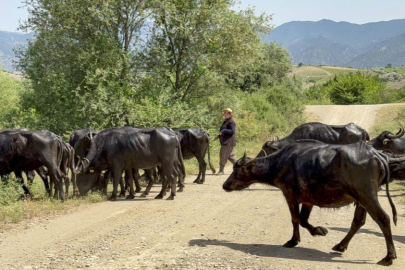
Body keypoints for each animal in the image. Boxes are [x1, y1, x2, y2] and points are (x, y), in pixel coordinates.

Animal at [224, 141, 398, 266]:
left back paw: (389, 257)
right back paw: (340, 245)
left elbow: (295, 219)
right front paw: (319, 230)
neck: (282, 163)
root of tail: (376, 154)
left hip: (367, 196)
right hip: (361, 200)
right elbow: (303, 220)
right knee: (358, 221)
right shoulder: (308, 200)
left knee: (383, 218)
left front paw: (293, 241)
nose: (225, 185)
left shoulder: (290, 194)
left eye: (237, 171)